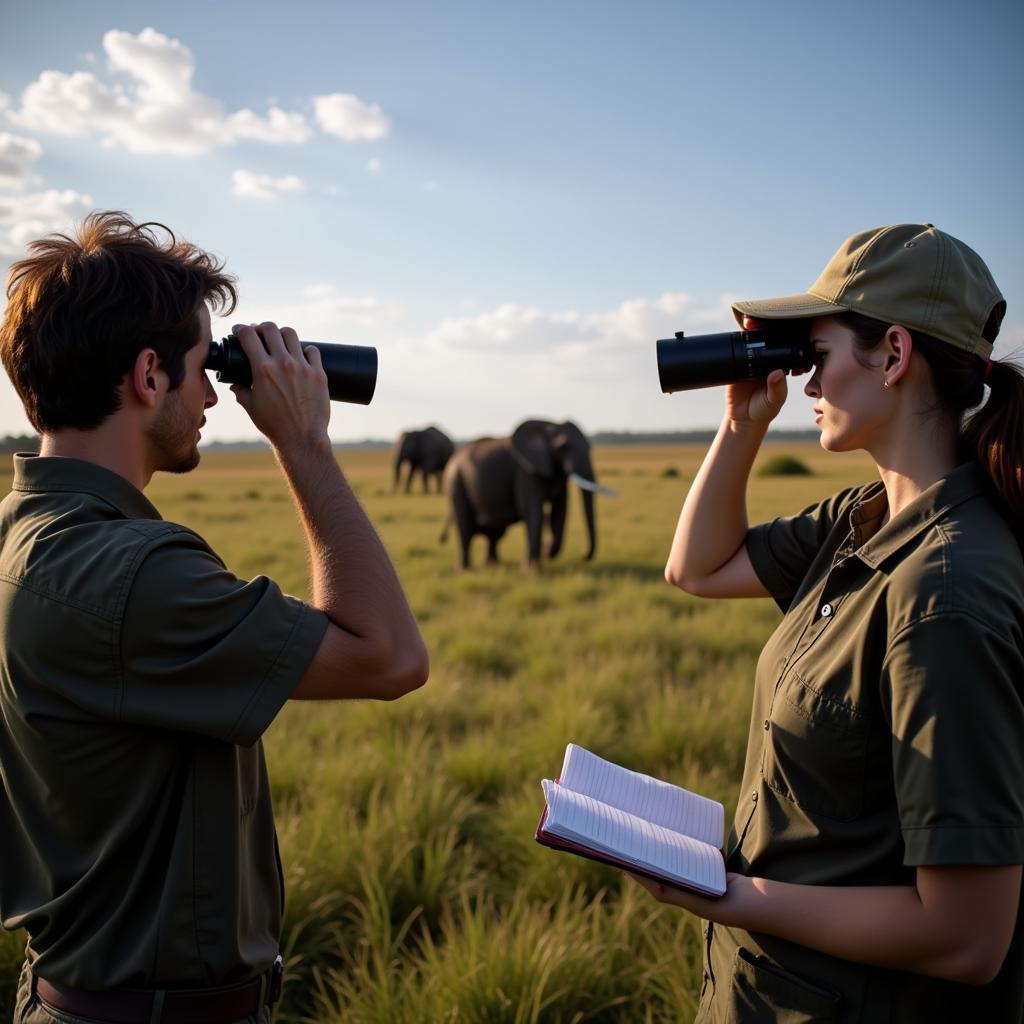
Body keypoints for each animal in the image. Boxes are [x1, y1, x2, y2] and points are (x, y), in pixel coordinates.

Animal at [438, 419, 610, 573]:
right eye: (563, 446)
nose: (584, 557)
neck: (547, 425)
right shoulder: (525, 471)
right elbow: (533, 512)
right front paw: (532, 570)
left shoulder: (555, 472)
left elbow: (559, 512)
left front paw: (543, 555)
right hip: (455, 482)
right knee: (465, 528)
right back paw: (466, 570)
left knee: (495, 532)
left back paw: (493, 565)